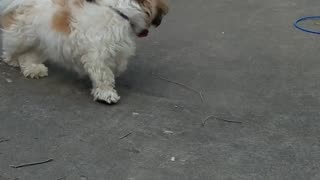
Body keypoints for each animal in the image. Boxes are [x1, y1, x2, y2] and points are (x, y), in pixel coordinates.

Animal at [0, 0, 169, 103]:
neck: (121, 14)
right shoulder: (99, 55)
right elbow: (103, 75)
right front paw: (106, 93)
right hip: (22, 36)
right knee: (11, 48)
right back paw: (13, 59)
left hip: (42, 41)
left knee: (28, 56)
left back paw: (33, 68)